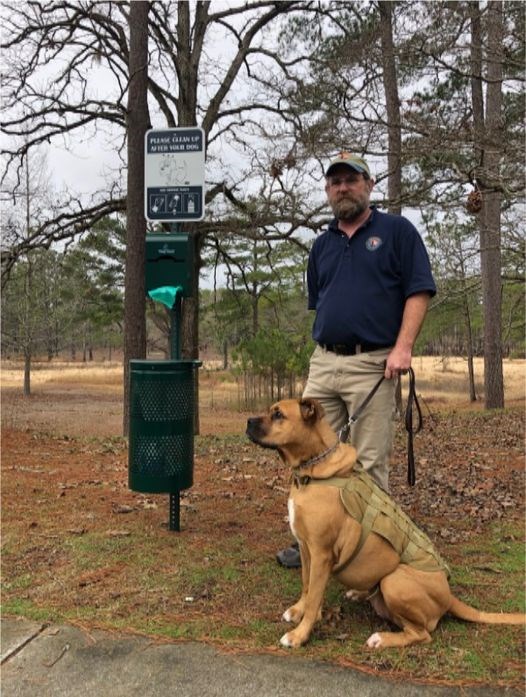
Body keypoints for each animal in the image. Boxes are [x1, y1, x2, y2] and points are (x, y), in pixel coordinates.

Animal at [248, 400, 526, 648]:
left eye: (278, 414)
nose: (248, 422)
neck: (313, 469)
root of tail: (449, 596)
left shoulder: (321, 554)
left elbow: (315, 596)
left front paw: (300, 634)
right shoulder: (306, 549)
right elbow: (307, 586)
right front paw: (298, 610)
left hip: (394, 581)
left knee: (421, 634)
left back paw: (382, 639)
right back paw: (360, 594)